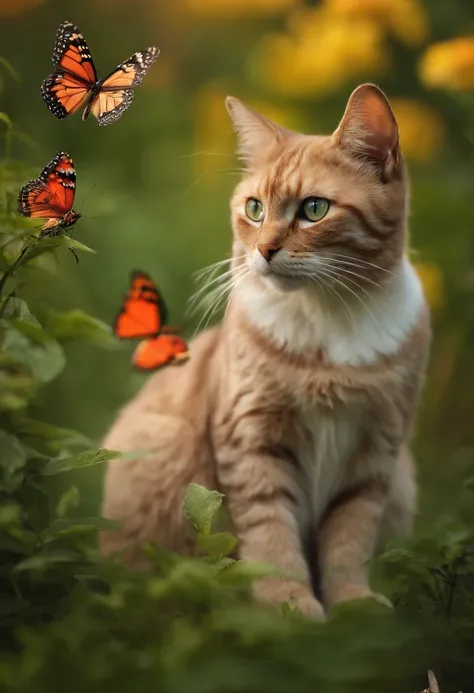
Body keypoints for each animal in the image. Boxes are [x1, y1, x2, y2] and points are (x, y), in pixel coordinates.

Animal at [101, 84, 434, 620]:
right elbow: (272, 539)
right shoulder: (252, 440)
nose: (264, 250)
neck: (328, 326)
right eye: (254, 209)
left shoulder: (374, 455)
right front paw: (289, 606)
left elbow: (349, 542)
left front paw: (353, 606)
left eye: (314, 209)